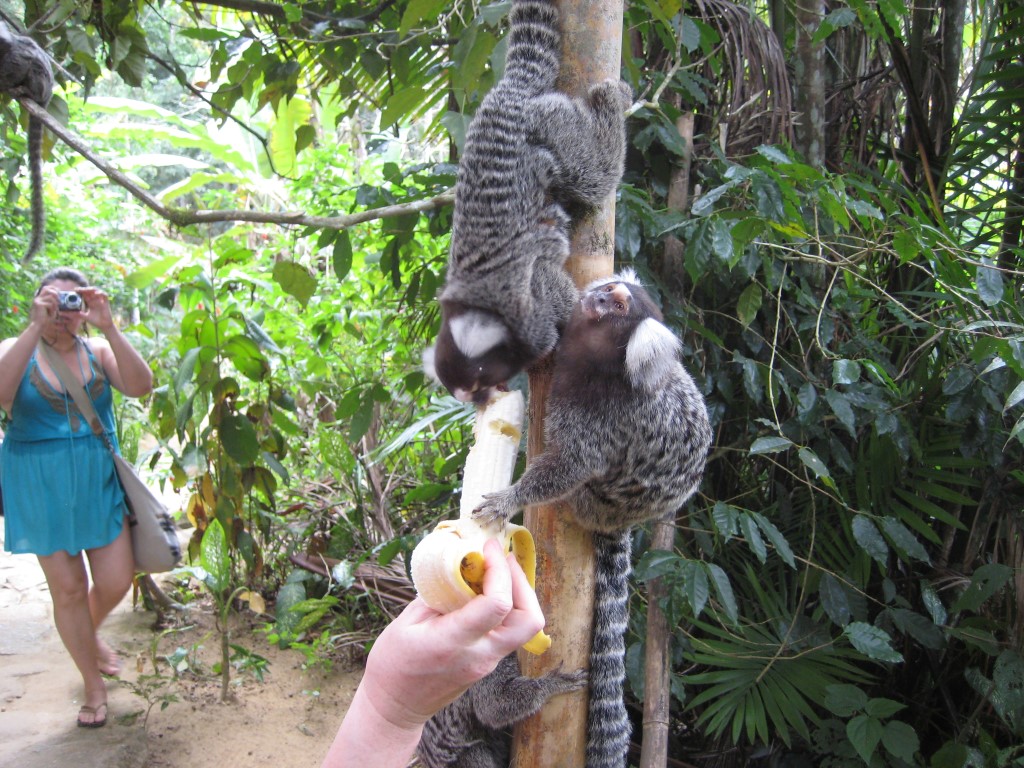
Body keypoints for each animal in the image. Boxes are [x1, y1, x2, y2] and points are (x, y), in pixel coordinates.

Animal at [423, 0, 632, 405]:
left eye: (480, 385)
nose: (482, 401)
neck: (483, 311)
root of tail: (507, 95)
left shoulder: (532, 307)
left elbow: (563, 301)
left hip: (550, 122)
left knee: (593, 175)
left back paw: (612, 99)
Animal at [473, 270, 713, 768]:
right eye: (606, 289)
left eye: (619, 307)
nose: (599, 298)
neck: (594, 363)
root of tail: (621, 521)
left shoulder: (600, 417)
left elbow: (569, 465)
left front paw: (510, 498)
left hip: (595, 502)